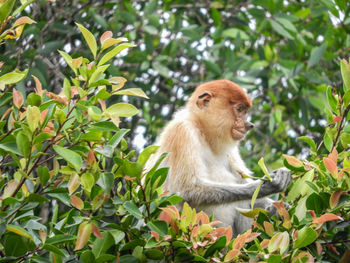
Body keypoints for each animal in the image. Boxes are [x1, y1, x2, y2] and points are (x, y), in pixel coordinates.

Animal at [145, 80, 292, 235]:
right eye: (239, 109)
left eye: (245, 111)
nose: (249, 125)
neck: (203, 130)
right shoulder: (182, 132)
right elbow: (188, 189)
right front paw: (266, 185)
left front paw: (279, 207)